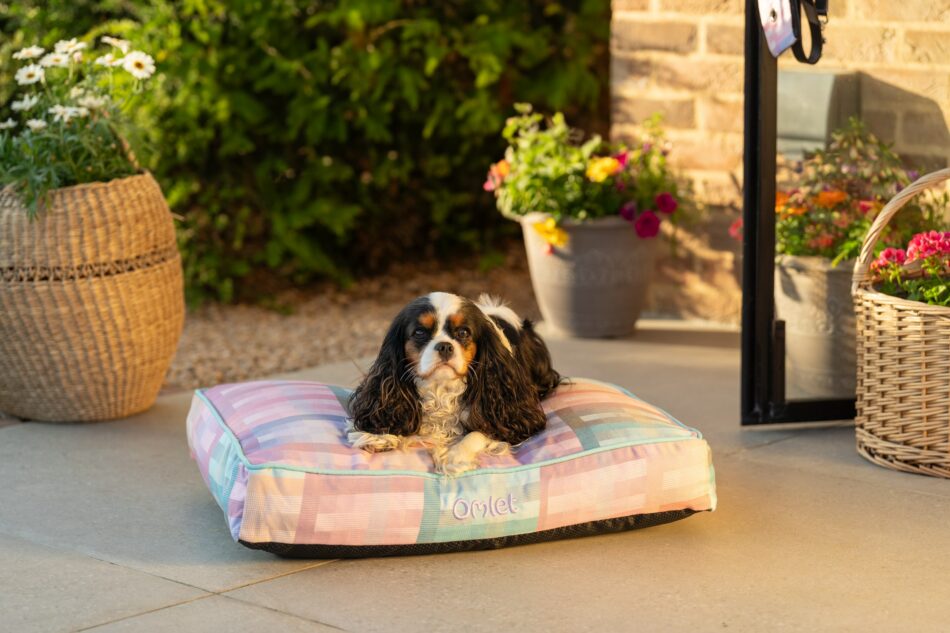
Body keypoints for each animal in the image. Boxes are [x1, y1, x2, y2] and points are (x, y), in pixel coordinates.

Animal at [348, 292, 556, 474]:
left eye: (463, 332)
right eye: (419, 332)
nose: (445, 346)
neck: (441, 389)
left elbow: (482, 431)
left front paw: (455, 456)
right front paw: (379, 435)